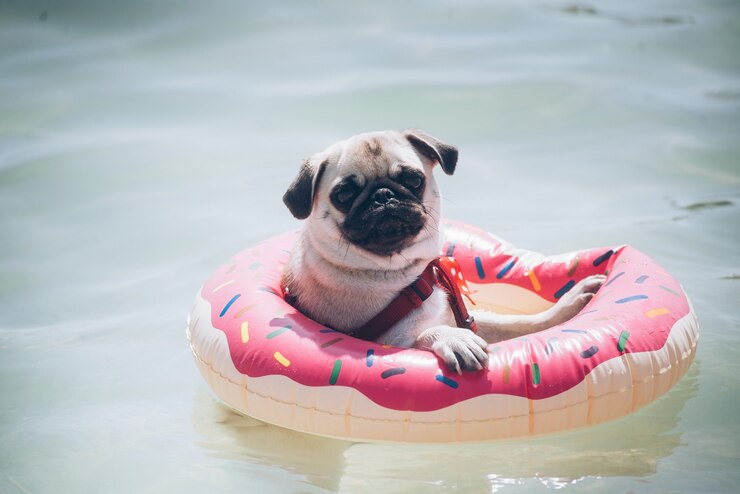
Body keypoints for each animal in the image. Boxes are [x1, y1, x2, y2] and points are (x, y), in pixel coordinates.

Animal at [280, 129, 604, 372]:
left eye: (413, 179)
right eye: (344, 195)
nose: (383, 196)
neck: (403, 274)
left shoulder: (463, 315)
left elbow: (514, 324)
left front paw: (566, 306)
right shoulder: (387, 340)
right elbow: (425, 334)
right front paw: (454, 340)